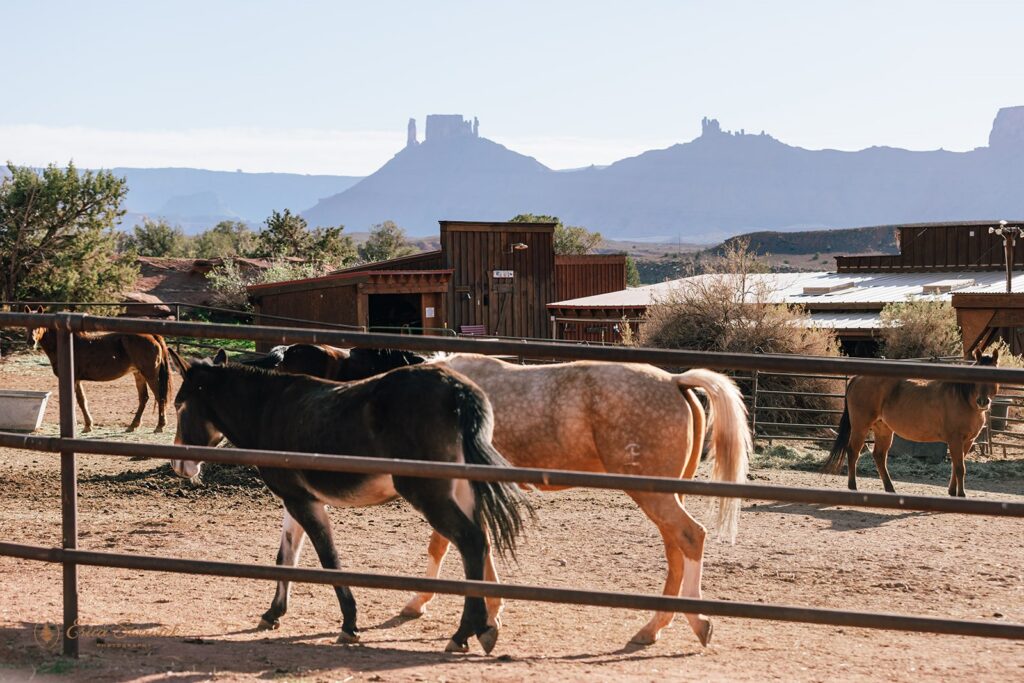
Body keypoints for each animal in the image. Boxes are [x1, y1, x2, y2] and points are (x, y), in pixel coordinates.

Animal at [24, 306, 171, 433]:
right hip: (139, 374)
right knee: (144, 398)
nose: (31, 342)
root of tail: (152, 335)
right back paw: (133, 425)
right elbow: (82, 400)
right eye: (26, 325)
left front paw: (83, 425)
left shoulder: (73, 379)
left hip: (150, 375)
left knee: (160, 397)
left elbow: (78, 401)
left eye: (39, 325)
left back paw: (160, 426)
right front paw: (88, 425)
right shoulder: (77, 379)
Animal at [165, 349, 530, 654]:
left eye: (179, 405)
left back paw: (465, 633)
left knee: (470, 542)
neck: (268, 410)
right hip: (461, 491)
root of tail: (458, 390)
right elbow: (286, 555)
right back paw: (483, 627)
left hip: (429, 494)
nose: (179, 466)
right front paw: (273, 613)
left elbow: (329, 559)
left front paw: (349, 625)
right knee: (481, 543)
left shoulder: (304, 503)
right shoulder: (297, 499)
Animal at [822, 348, 1000, 497]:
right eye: (976, 377)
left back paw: (890, 488)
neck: (964, 399)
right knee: (853, 452)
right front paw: (961, 494)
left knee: (879, 455)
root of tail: (857, 378)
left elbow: (956, 467)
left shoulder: (968, 441)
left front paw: (952, 492)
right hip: (861, 427)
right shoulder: (955, 440)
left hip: (883, 429)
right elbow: (960, 468)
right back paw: (853, 486)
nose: (983, 401)